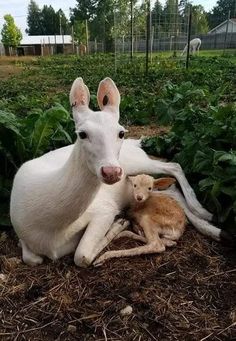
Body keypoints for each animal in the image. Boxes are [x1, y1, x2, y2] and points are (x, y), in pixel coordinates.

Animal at [9, 76, 219, 266]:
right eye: (82, 134)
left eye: (121, 132)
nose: (111, 172)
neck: (50, 228)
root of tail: (134, 144)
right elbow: (32, 258)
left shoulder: (103, 209)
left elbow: (81, 256)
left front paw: (118, 224)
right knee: (169, 188)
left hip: (135, 163)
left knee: (173, 166)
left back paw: (204, 213)